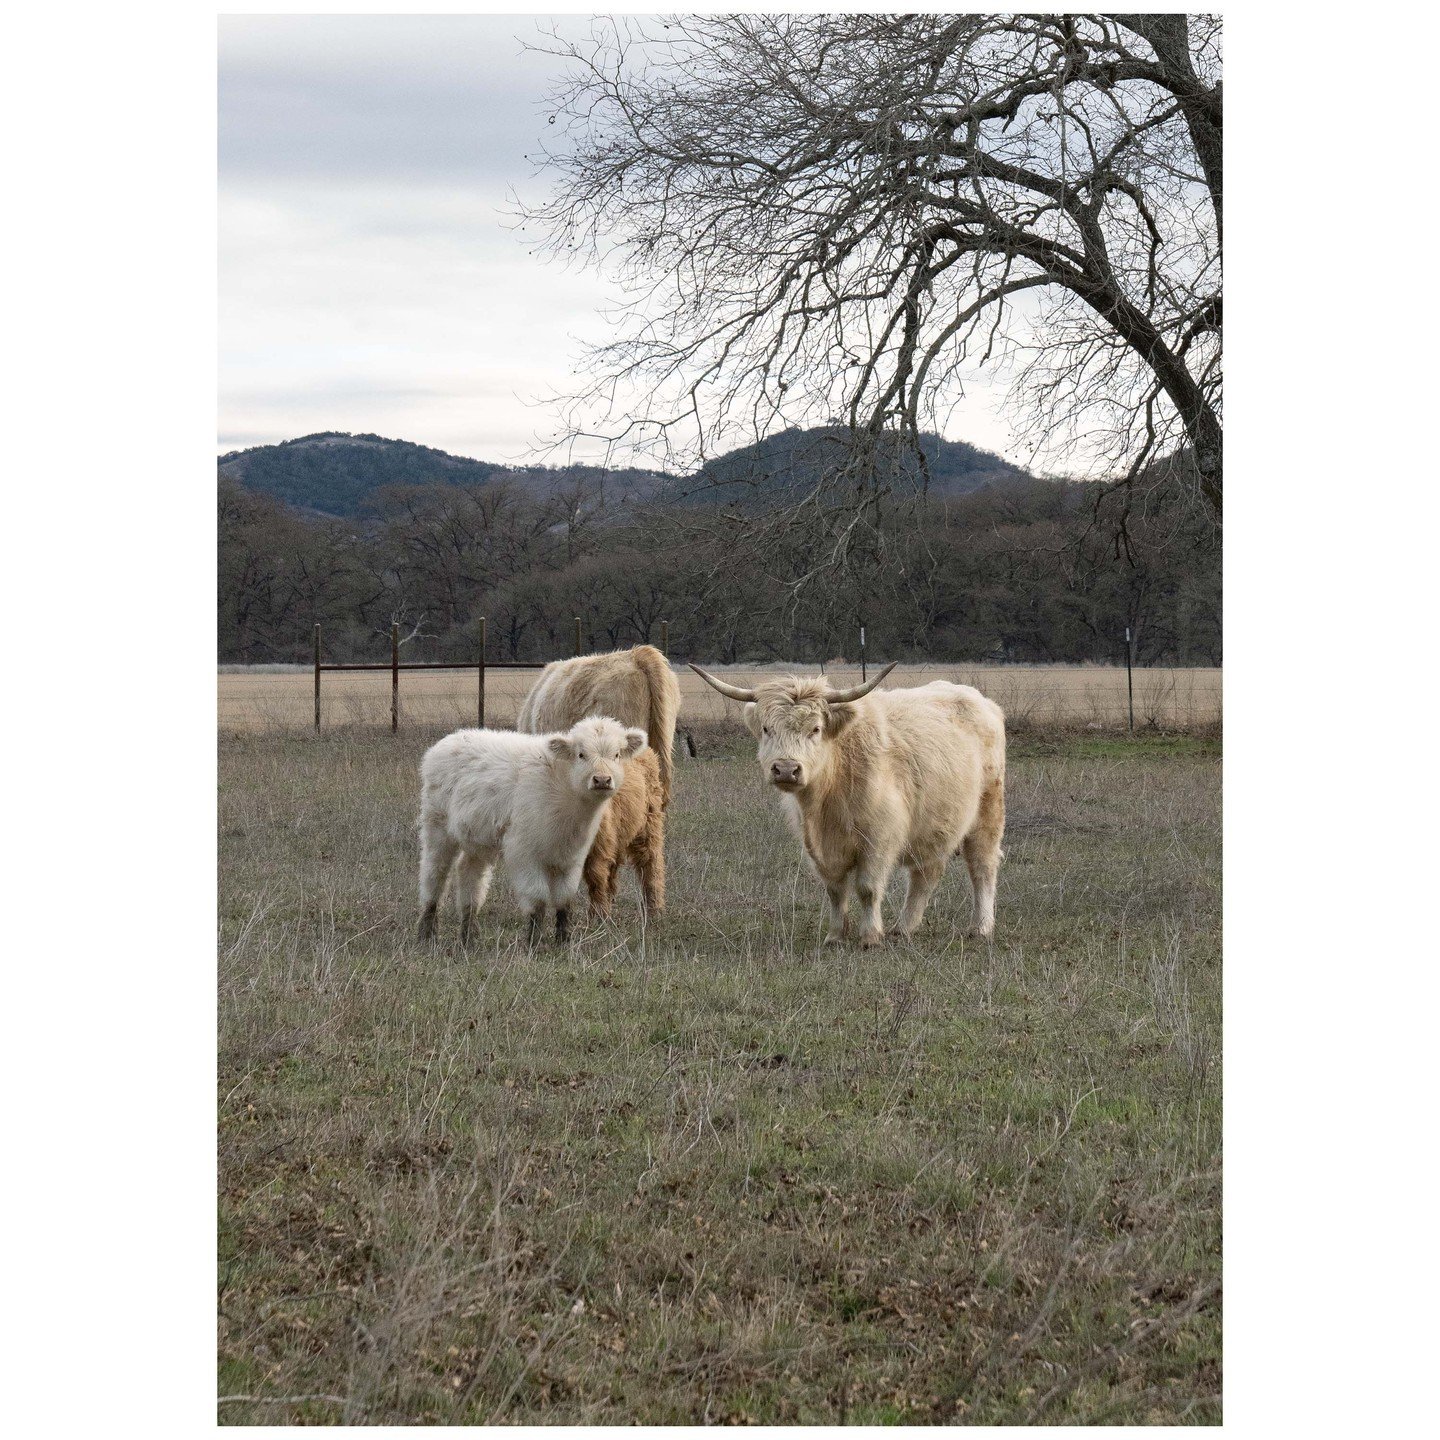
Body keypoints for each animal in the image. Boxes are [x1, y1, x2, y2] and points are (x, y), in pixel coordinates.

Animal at [414, 717, 645, 944]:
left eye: (616, 755)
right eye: (581, 754)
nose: (602, 780)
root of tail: (450, 739)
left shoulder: (573, 856)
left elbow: (565, 898)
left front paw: (563, 941)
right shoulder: (524, 852)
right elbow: (538, 899)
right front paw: (534, 942)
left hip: (477, 838)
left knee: (469, 873)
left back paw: (468, 935)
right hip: (437, 827)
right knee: (434, 873)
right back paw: (427, 932)